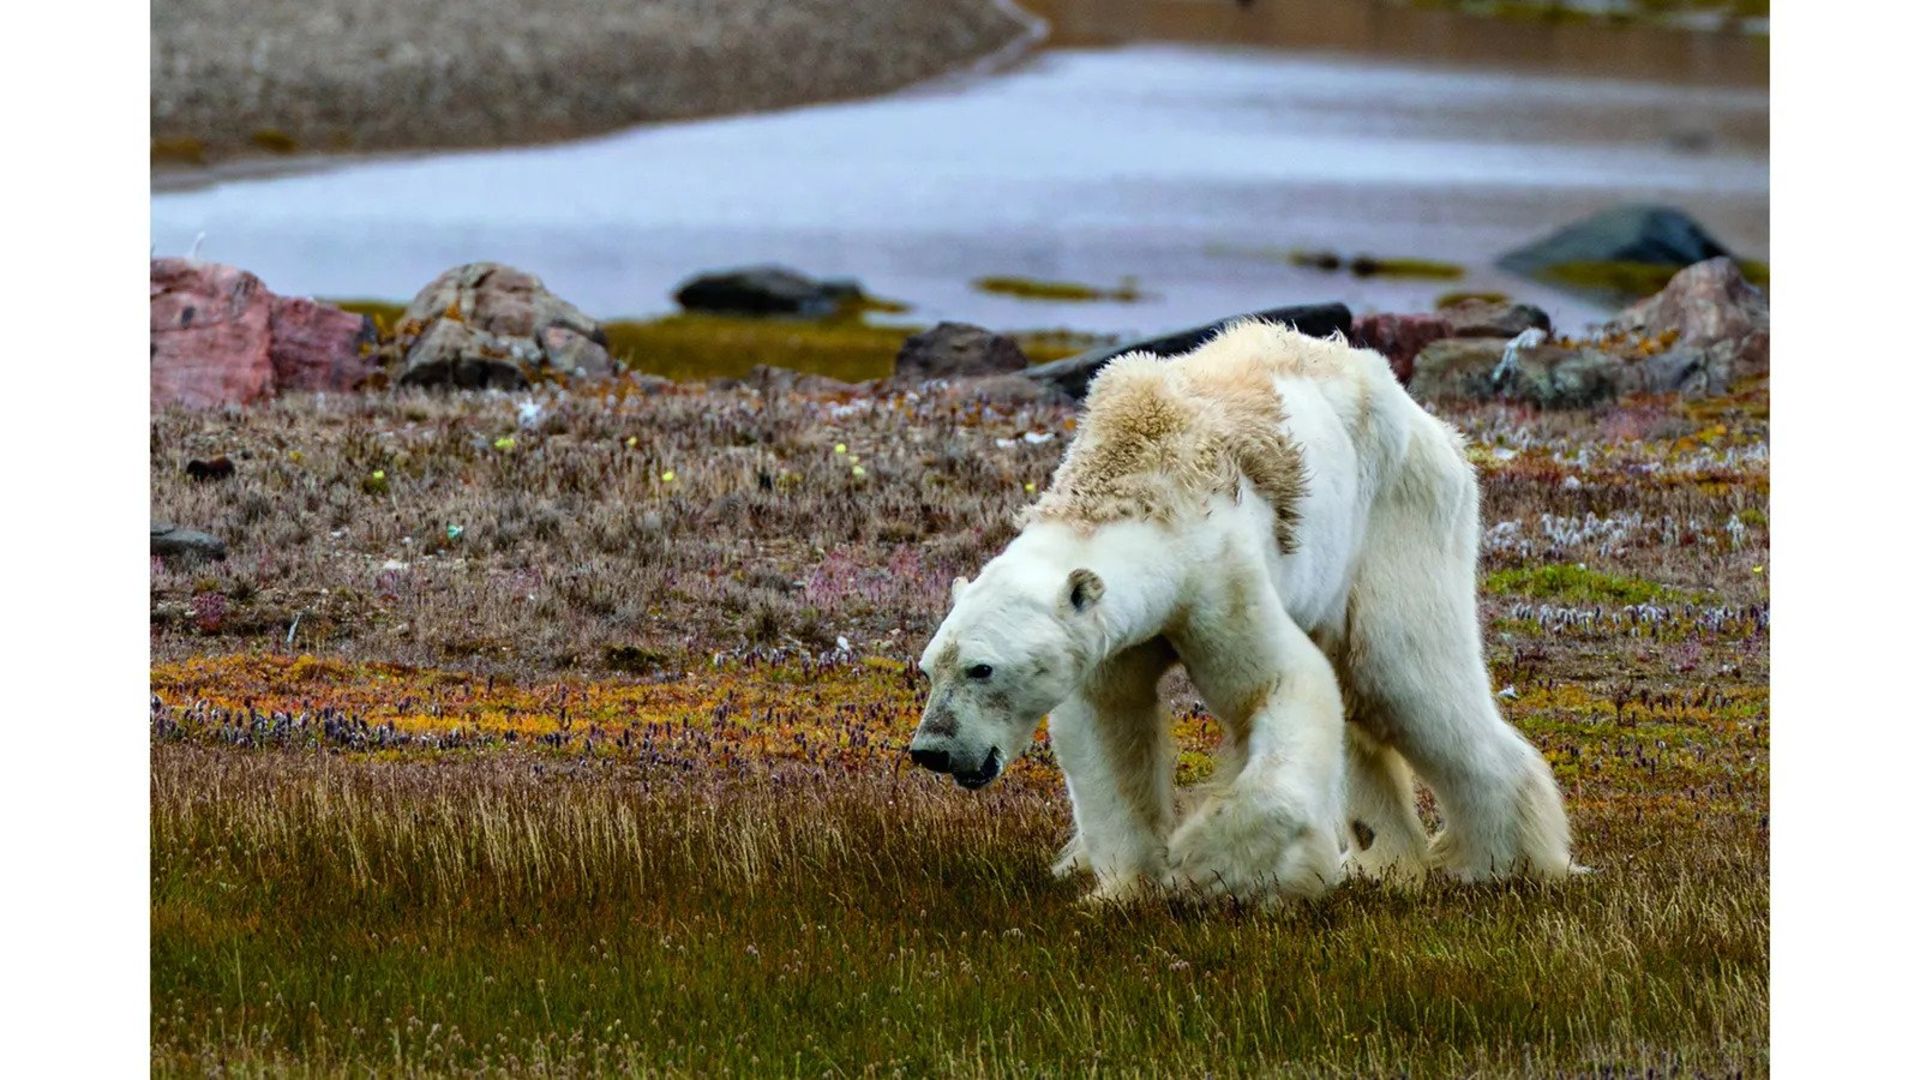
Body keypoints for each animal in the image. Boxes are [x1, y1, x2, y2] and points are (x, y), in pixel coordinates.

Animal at [913, 319, 1574, 899]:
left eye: (982, 668)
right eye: (928, 668)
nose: (931, 751)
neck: (1135, 481)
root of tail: (1436, 428)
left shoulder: (1217, 575)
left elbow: (1281, 685)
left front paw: (1209, 864)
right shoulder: (1113, 635)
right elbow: (1108, 726)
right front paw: (1124, 887)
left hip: (1397, 520)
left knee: (1405, 678)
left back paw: (1500, 862)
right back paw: (1384, 863)